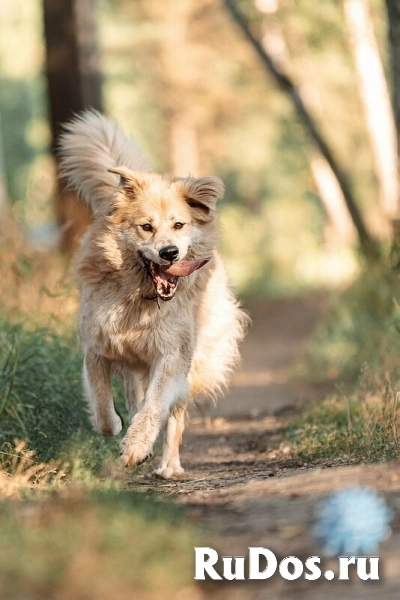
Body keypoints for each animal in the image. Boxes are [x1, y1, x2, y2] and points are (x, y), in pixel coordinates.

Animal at [59, 111, 248, 478]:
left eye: (179, 225)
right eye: (146, 227)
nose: (170, 253)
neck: (139, 298)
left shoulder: (172, 356)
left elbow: (156, 404)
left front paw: (136, 447)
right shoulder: (98, 348)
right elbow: (103, 410)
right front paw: (119, 428)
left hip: (196, 361)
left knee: (173, 416)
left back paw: (168, 465)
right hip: (133, 364)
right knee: (135, 395)